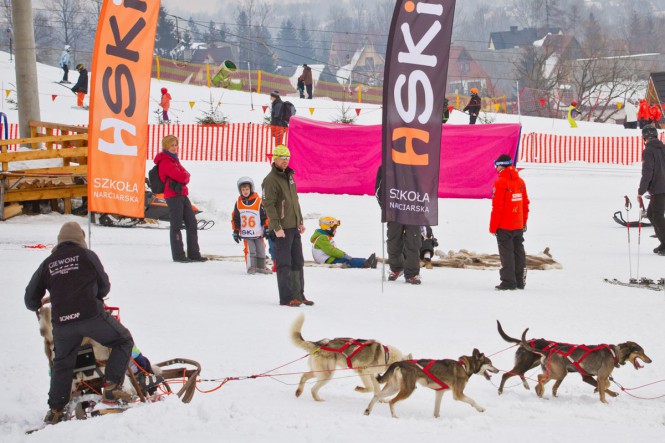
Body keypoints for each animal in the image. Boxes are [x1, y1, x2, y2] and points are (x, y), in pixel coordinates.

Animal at [364, 349, 499, 418]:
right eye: (490, 363)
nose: (497, 370)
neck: (465, 367)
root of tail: (400, 363)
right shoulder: (458, 395)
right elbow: (472, 401)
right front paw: (480, 408)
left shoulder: (440, 393)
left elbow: (436, 410)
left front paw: (437, 418)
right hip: (408, 389)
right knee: (391, 401)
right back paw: (395, 416)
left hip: (394, 387)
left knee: (376, 395)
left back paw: (368, 410)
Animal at [520, 328, 652, 403]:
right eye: (641, 351)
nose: (650, 360)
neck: (615, 353)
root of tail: (548, 352)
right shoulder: (601, 376)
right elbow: (605, 387)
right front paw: (604, 402)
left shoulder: (598, 377)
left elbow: (605, 385)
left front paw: (598, 390)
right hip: (559, 373)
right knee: (539, 377)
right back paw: (541, 392)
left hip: (557, 373)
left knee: (539, 382)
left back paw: (540, 395)